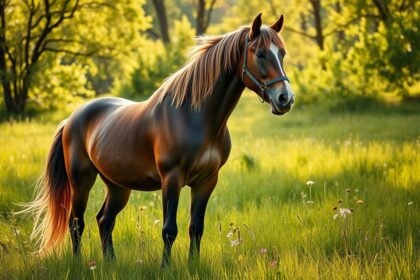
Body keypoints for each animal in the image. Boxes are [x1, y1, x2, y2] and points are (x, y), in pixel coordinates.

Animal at [25, 13, 296, 266]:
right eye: (260, 53)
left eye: (282, 53)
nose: (285, 99)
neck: (194, 117)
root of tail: (71, 119)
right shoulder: (171, 179)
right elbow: (169, 230)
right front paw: (166, 268)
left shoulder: (207, 181)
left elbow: (196, 228)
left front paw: (193, 265)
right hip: (81, 181)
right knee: (76, 222)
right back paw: (79, 262)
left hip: (118, 186)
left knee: (104, 220)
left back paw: (110, 262)